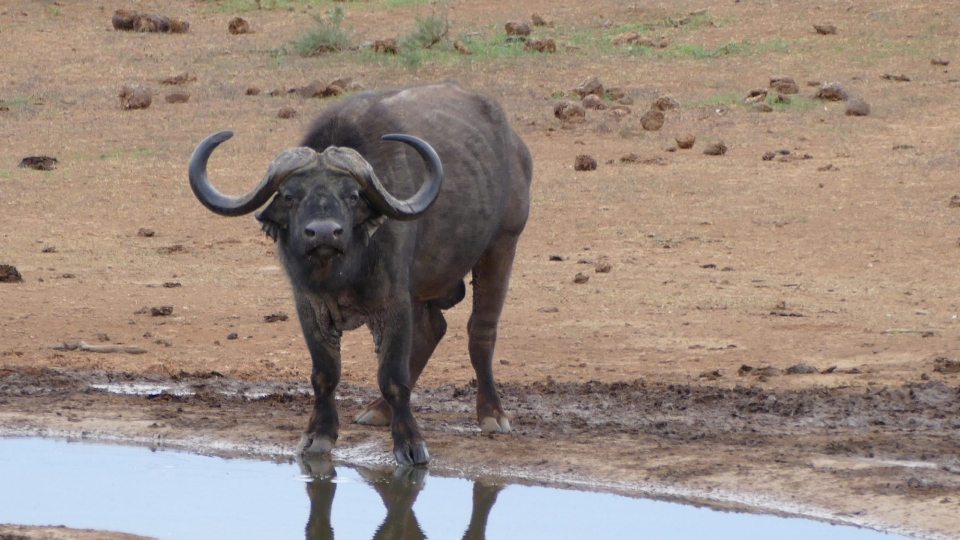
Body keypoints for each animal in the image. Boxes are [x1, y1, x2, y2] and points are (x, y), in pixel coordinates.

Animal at [188, 80, 532, 464]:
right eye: (290, 195)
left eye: (352, 195)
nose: (324, 233)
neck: (344, 271)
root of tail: (515, 144)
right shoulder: (309, 306)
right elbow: (325, 373)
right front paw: (318, 435)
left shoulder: (393, 302)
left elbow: (393, 375)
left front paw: (410, 445)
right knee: (433, 328)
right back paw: (378, 410)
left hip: (502, 244)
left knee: (480, 331)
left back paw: (492, 414)